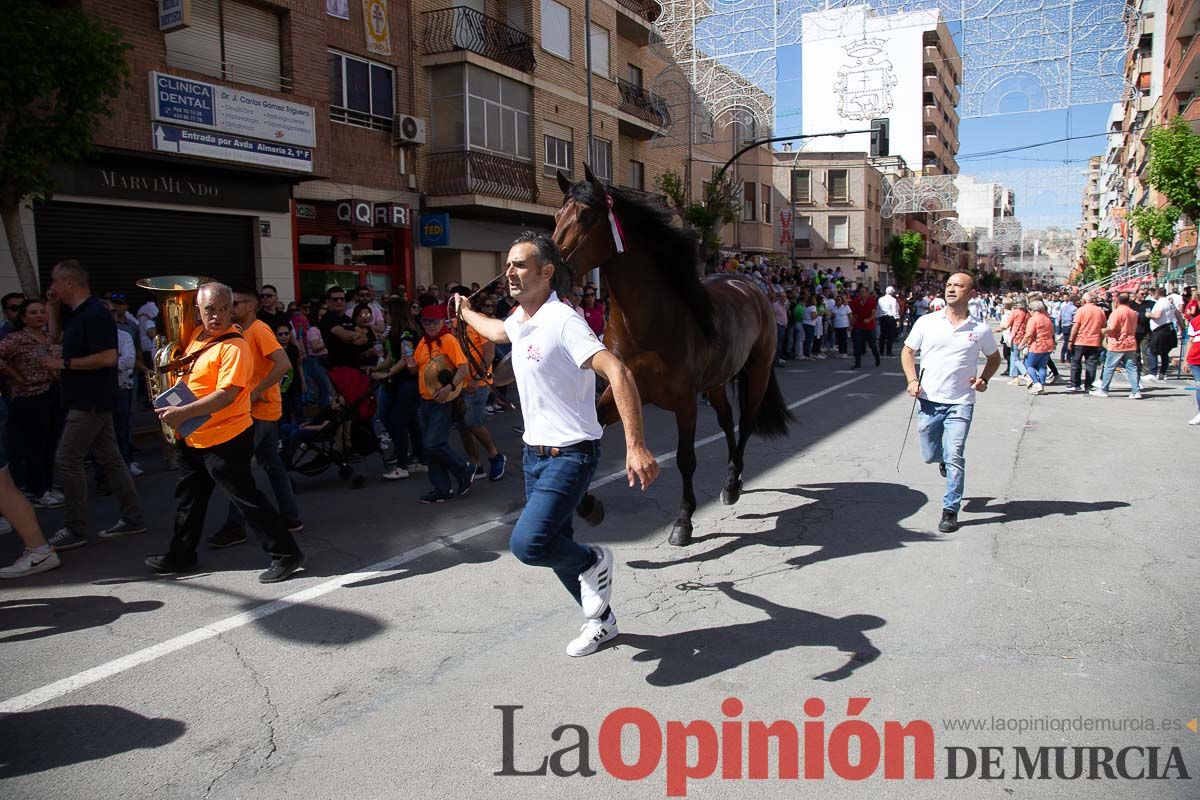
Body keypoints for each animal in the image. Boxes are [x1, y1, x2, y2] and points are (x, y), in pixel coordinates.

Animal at [554, 165, 796, 546]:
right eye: (556, 215)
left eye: (587, 216)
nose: (552, 269)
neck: (647, 325)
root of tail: (751, 287)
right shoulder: (620, 391)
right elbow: (589, 437)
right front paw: (588, 506)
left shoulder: (684, 402)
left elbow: (685, 459)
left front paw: (683, 521)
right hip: (716, 382)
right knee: (727, 421)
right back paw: (731, 481)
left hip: (756, 372)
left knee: (745, 424)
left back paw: (733, 483)